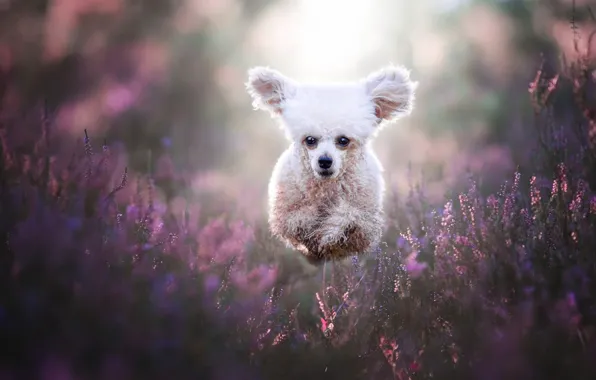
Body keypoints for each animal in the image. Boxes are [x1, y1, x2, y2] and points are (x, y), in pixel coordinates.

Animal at [244, 64, 416, 264]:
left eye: (343, 140)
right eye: (310, 140)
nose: (325, 161)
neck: (326, 189)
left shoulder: (363, 222)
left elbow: (348, 219)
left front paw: (331, 234)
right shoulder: (287, 216)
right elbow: (300, 220)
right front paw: (314, 227)